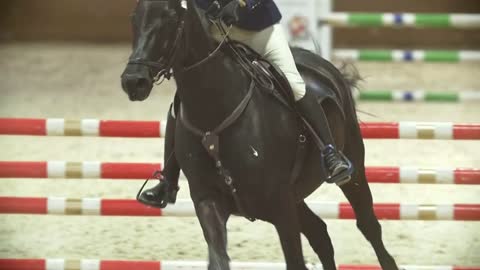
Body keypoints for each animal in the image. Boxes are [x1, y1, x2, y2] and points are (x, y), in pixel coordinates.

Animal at [120, 1, 398, 268]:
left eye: (170, 19)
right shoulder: (209, 201)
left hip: (352, 169)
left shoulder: (281, 206)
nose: (133, 81)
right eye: (134, 18)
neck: (215, 111)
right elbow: (219, 259)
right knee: (320, 234)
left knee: (369, 226)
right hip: (295, 197)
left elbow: (295, 261)